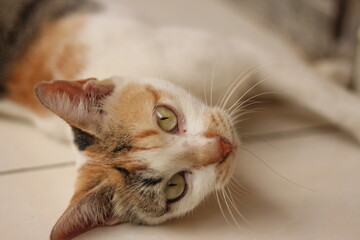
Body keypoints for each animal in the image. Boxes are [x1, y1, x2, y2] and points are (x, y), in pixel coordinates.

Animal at [2, 0, 360, 240]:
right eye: (175, 187)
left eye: (165, 118)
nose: (222, 145)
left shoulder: (238, 51)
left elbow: (317, 93)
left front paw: (336, 78)